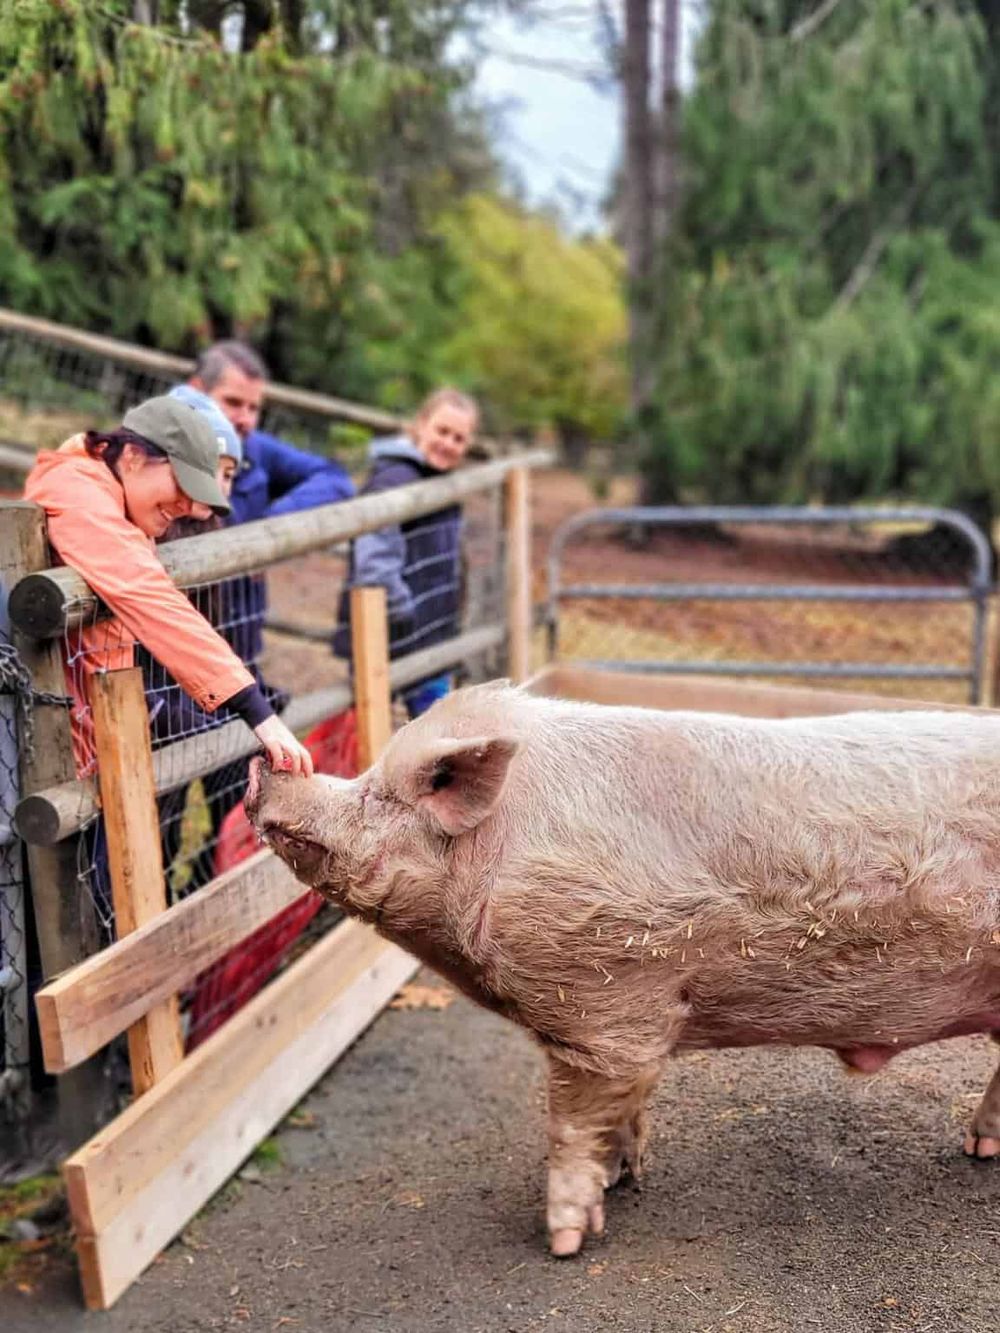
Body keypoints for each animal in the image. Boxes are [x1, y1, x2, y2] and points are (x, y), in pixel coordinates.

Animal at [245, 680, 1000, 1257]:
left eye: (379, 794)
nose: (265, 767)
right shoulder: (629, 1016)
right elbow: (624, 1109)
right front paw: (623, 1175)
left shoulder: (603, 1001)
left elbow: (571, 1126)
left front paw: (565, 1241)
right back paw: (979, 1149)